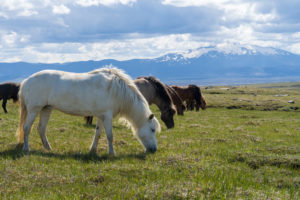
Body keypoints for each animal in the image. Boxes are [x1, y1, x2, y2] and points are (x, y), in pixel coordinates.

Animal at [15, 67, 162, 155]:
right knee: (27, 128)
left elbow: (98, 133)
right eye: (152, 129)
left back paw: (48, 148)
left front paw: (93, 150)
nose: (154, 149)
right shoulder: (107, 117)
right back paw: (26, 149)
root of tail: (26, 81)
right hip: (34, 110)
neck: (117, 90)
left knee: (41, 129)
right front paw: (111, 153)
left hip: (46, 109)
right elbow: (110, 135)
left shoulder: (101, 116)